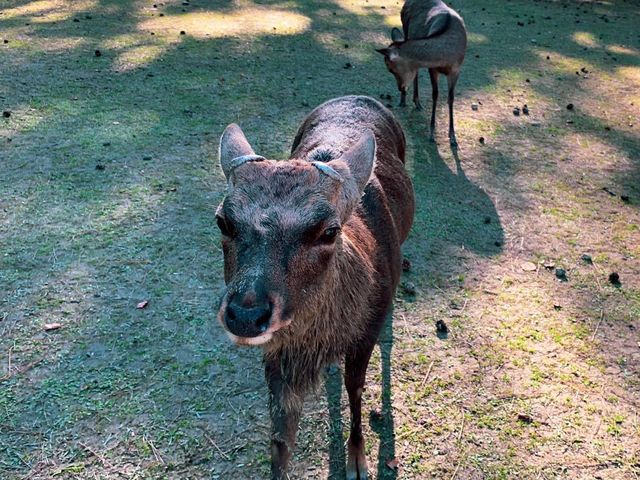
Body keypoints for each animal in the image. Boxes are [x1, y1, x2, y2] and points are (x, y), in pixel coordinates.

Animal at [215, 95, 416, 478]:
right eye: (222, 221)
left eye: (329, 231)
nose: (246, 315)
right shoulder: (277, 354)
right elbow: (280, 437)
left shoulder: (365, 333)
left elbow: (356, 390)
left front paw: (357, 460)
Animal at [376, 0, 470, 146]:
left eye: (390, 68)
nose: (400, 87)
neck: (445, 56)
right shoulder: (432, 69)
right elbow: (435, 95)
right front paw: (431, 134)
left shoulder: (456, 70)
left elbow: (451, 98)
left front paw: (453, 137)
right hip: (405, 28)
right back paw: (406, 101)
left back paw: (416, 102)